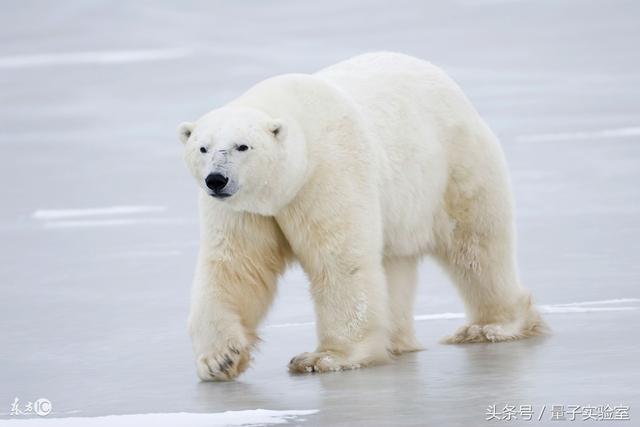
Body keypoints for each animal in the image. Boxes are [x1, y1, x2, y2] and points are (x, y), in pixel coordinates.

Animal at [179, 51, 544, 382]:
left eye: (243, 146)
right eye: (202, 147)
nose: (216, 180)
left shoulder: (327, 172)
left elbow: (339, 260)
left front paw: (323, 358)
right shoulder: (243, 210)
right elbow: (235, 267)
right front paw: (219, 359)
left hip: (455, 166)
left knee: (477, 247)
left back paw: (489, 326)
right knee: (395, 265)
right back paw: (396, 342)